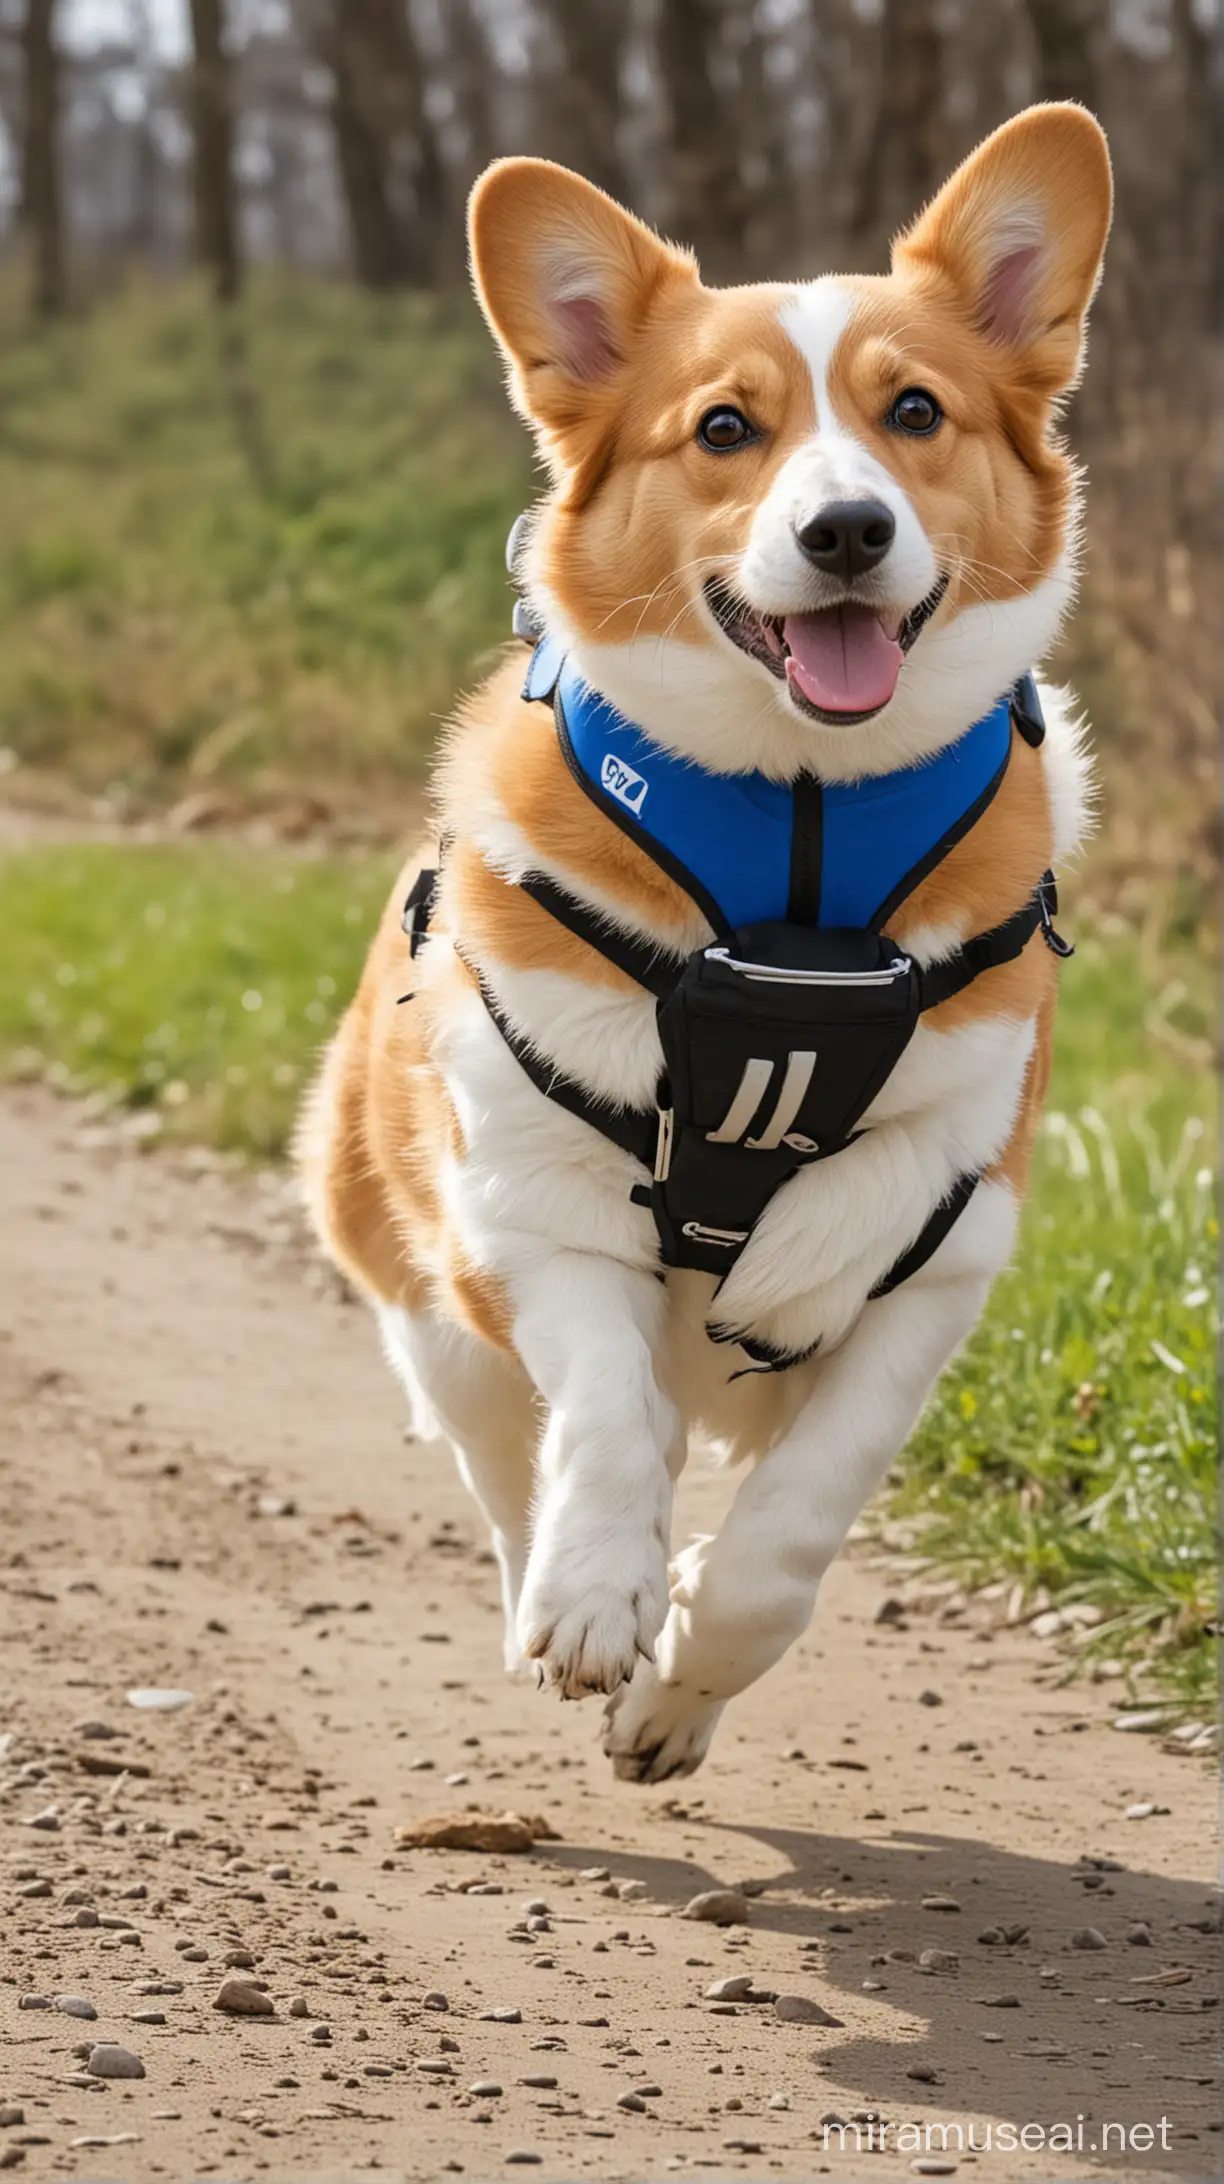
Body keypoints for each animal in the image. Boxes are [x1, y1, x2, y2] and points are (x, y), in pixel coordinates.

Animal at [297, 102, 1110, 1782]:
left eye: (915, 412)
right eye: (725, 431)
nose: (848, 528)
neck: (798, 867)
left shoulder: (938, 1264)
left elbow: (784, 1540)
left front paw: (680, 1675)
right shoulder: (536, 1215)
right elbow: (609, 1416)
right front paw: (601, 1601)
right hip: (430, 1312)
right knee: (516, 1465)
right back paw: (553, 1574)